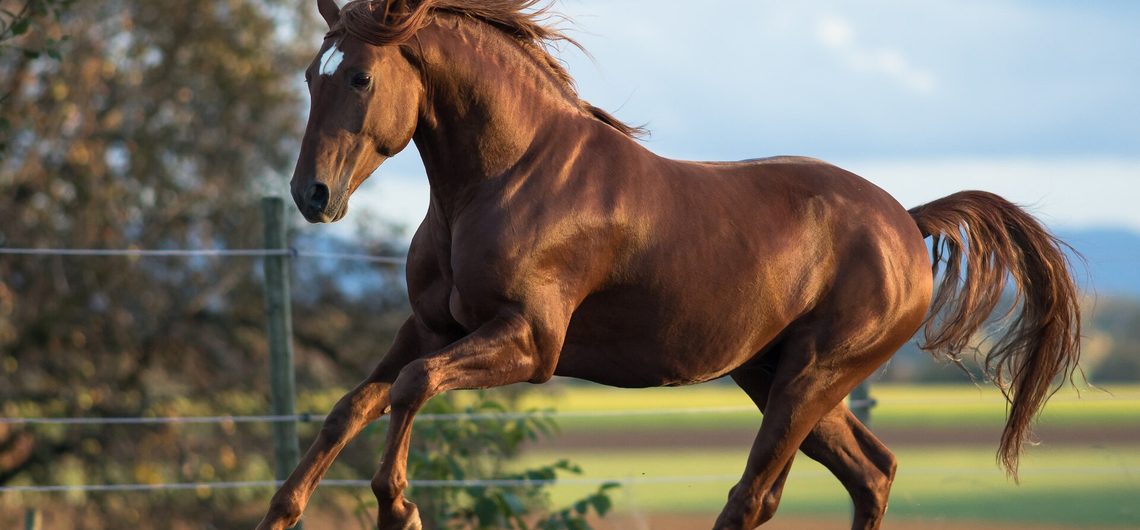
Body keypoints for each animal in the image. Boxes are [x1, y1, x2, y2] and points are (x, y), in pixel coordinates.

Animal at [257, 1, 1081, 529]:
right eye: (309, 76)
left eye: (360, 77)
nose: (311, 194)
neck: (505, 177)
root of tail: (907, 224)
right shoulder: (429, 327)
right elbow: (352, 405)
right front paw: (284, 511)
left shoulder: (529, 343)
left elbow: (410, 388)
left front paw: (400, 508)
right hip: (776, 376)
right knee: (870, 473)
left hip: (812, 378)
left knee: (755, 496)